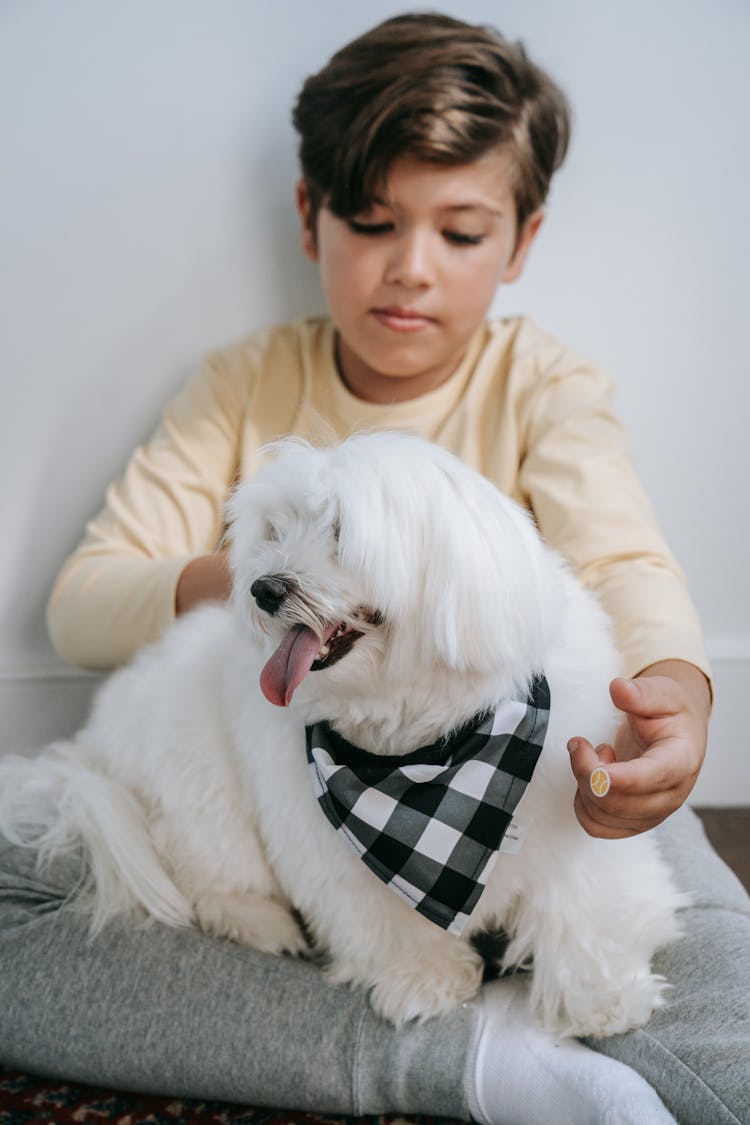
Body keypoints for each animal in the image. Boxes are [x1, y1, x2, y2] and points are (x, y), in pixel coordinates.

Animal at [0, 432, 683, 1035]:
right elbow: (387, 920)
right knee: (206, 874)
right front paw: (424, 979)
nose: (264, 588)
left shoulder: (574, 830)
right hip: (197, 776)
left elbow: (586, 911)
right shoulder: (336, 857)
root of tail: (93, 745)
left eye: (341, 533)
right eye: (275, 532)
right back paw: (262, 924)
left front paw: (603, 998)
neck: (434, 759)